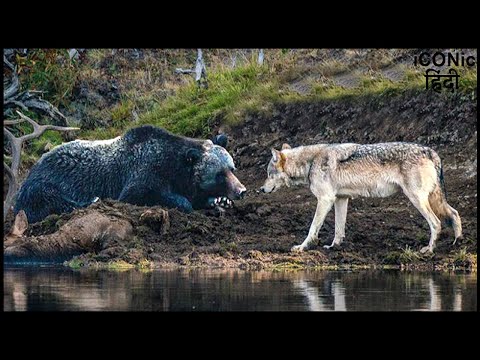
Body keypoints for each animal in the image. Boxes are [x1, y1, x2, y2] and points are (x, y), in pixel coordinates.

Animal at [14, 125, 248, 224]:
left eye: (232, 168)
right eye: (219, 173)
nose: (241, 190)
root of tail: (35, 165)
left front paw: (219, 201)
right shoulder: (143, 173)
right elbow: (141, 194)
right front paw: (185, 203)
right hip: (43, 184)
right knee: (52, 200)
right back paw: (91, 200)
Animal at [260, 142, 464, 255]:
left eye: (269, 174)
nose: (261, 189)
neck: (310, 163)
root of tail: (430, 151)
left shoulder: (325, 199)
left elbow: (312, 228)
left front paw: (302, 247)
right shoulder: (340, 199)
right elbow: (338, 229)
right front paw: (334, 247)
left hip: (417, 200)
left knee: (436, 223)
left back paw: (429, 250)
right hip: (432, 199)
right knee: (454, 213)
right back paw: (457, 243)